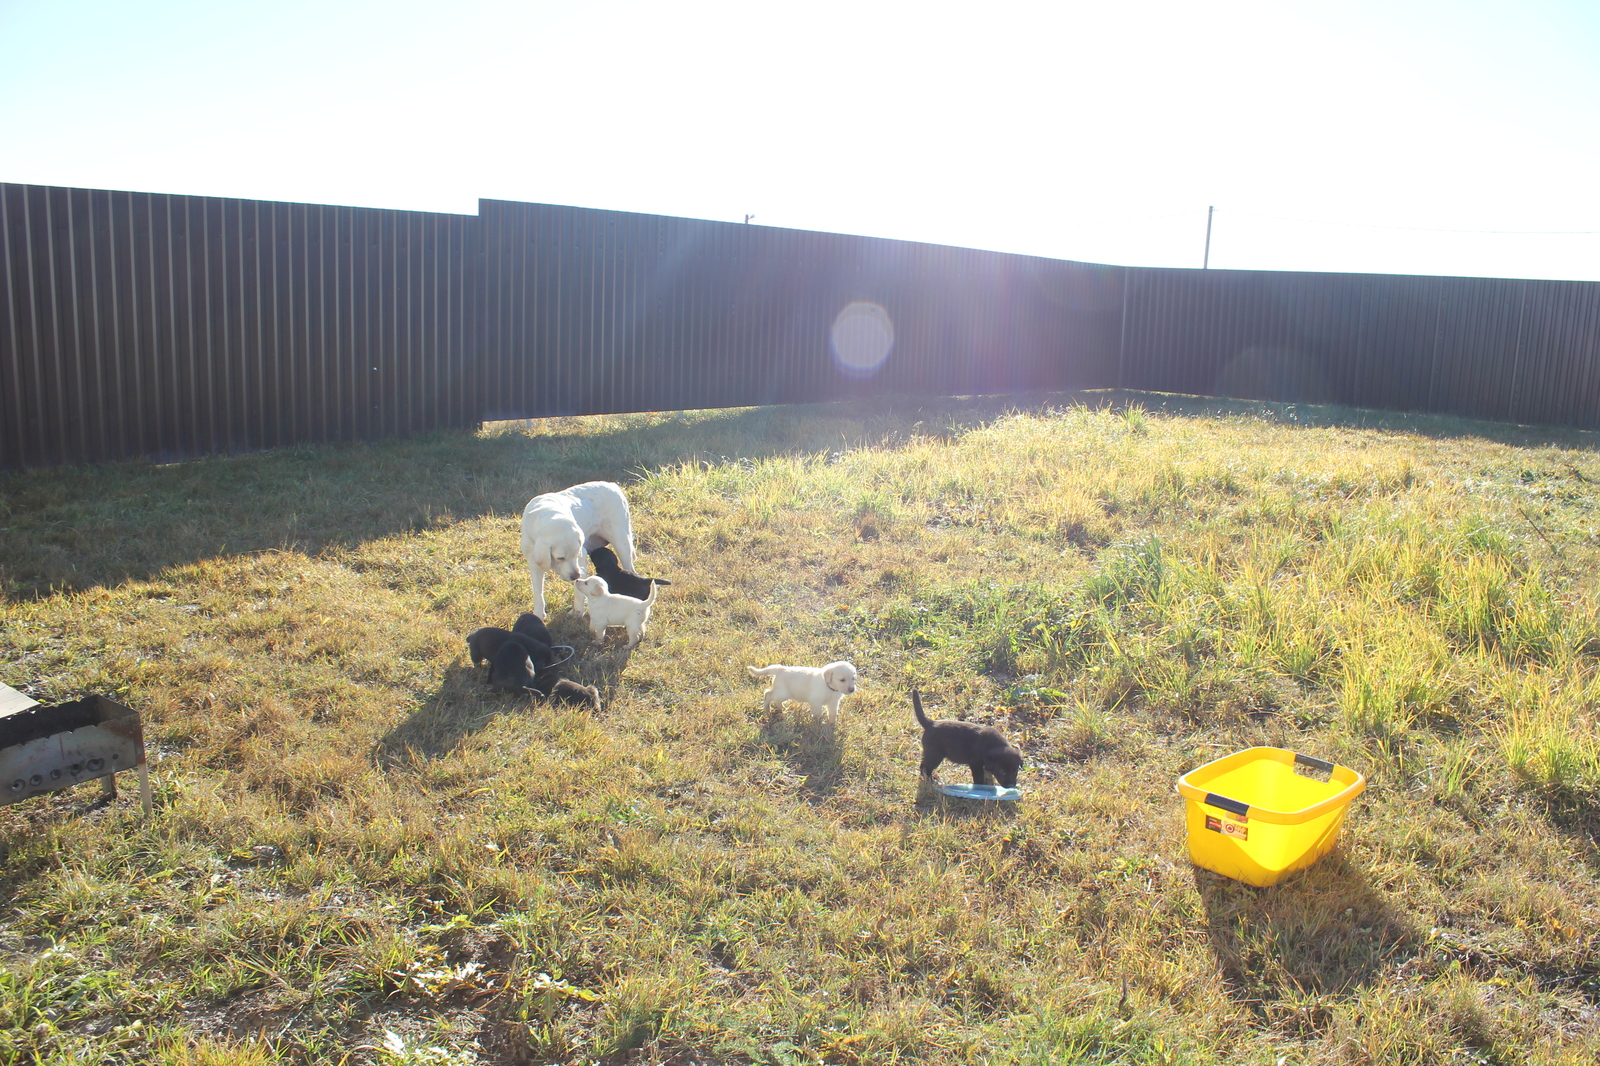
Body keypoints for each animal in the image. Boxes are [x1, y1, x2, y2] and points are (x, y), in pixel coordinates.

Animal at [515, 480, 633, 617]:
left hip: (622, 542)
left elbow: (579, 589)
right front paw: (539, 614)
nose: (576, 576)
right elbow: (538, 593)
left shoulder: (581, 556)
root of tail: (612, 484)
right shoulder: (534, 564)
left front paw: (578, 611)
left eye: (576, 555)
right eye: (561, 558)